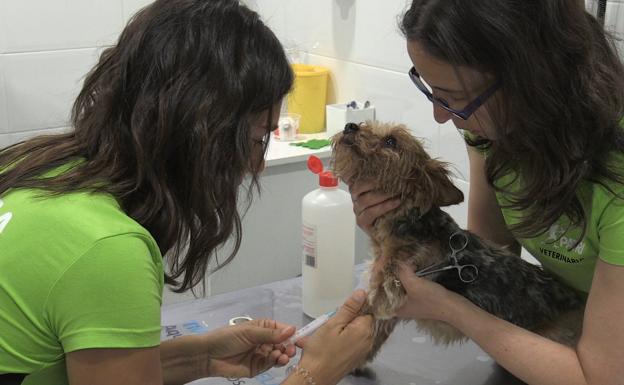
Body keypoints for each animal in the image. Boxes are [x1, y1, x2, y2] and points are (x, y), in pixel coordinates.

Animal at [332, 121, 584, 362]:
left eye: (391, 141)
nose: (350, 126)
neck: (412, 223)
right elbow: (378, 328)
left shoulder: (391, 284)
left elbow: (375, 306)